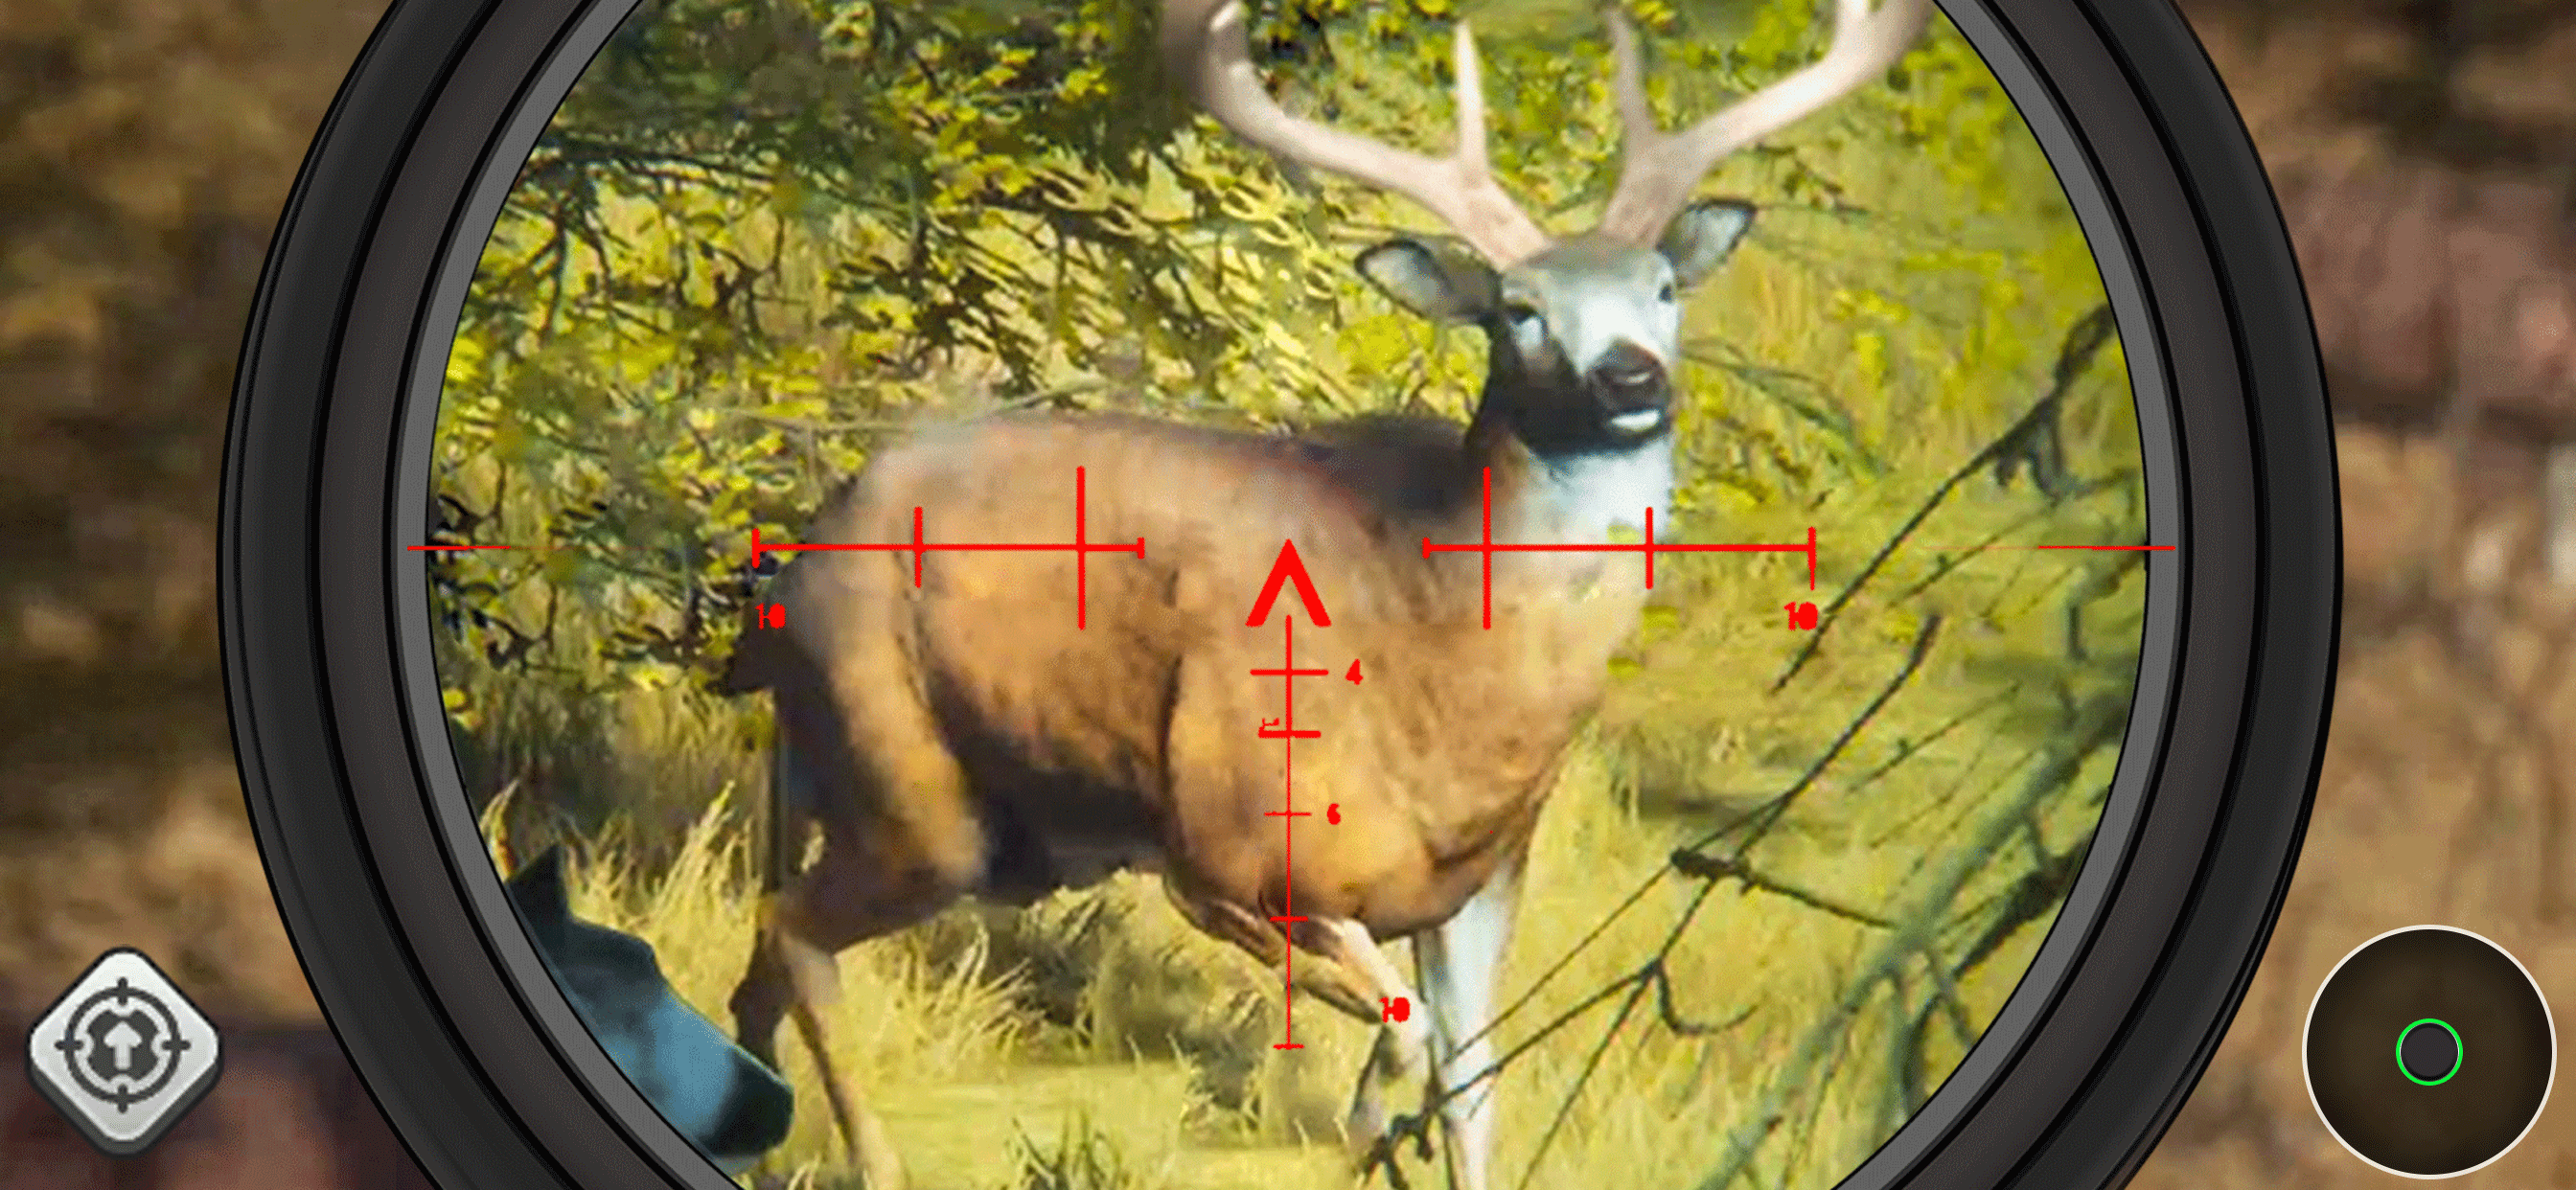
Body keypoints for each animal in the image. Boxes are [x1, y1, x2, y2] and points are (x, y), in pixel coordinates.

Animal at [717, 1, 1930, 1187]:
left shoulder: (1482, 880)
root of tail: (788, 570)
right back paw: (867, 1160)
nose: (1632, 377)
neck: (1443, 653)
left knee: (758, 964)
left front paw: (1399, 1122)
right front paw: (1359, 1121)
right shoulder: (1221, 853)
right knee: (791, 932)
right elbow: (1402, 1031)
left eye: (1664, 289)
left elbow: (1473, 1088)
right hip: (909, 780)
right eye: (1518, 308)